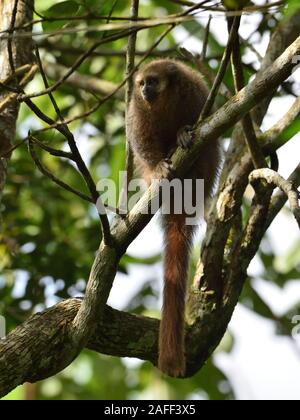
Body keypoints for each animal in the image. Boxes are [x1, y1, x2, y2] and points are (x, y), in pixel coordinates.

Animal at [126, 59, 220, 378]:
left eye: (153, 81)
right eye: (141, 83)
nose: (145, 89)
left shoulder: (197, 94)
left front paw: (182, 132)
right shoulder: (136, 109)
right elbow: (140, 143)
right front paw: (158, 167)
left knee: (210, 154)